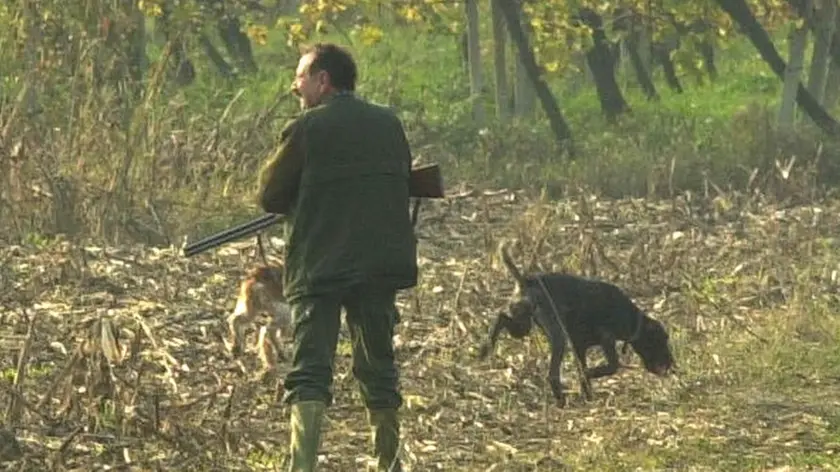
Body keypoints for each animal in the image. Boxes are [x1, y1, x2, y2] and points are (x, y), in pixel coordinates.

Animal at [480, 243, 676, 402]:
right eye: (661, 340)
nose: (671, 366)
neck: (631, 317)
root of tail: (527, 280)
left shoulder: (580, 346)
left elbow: (584, 373)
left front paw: (588, 395)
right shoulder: (606, 339)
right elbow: (611, 367)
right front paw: (590, 376)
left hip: (522, 325)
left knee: (501, 317)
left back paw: (485, 349)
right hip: (556, 337)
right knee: (552, 375)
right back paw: (560, 400)